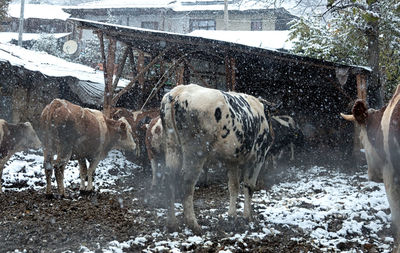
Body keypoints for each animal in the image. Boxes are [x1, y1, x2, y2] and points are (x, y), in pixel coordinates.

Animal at [159, 84, 304, 234]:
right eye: (269, 118)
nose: (273, 136)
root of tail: (179, 91)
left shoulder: (232, 160)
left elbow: (233, 187)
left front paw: (232, 216)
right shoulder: (258, 157)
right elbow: (249, 186)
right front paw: (247, 217)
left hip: (172, 147)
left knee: (169, 179)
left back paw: (172, 223)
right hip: (195, 152)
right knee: (186, 183)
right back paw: (193, 224)